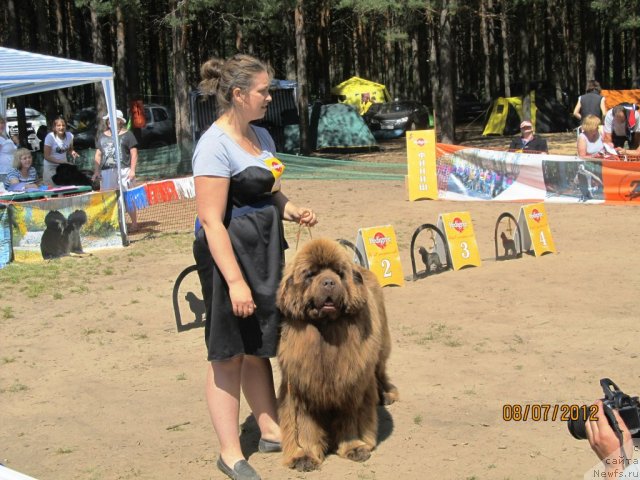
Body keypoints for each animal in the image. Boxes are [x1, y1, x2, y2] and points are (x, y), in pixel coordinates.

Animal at [276, 238, 398, 470]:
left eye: (338, 273)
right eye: (311, 274)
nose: (329, 283)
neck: (326, 330)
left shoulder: (353, 384)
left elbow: (351, 419)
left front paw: (355, 447)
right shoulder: (301, 385)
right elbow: (302, 424)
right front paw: (304, 455)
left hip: (380, 349)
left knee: (381, 372)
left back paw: (387, 394)